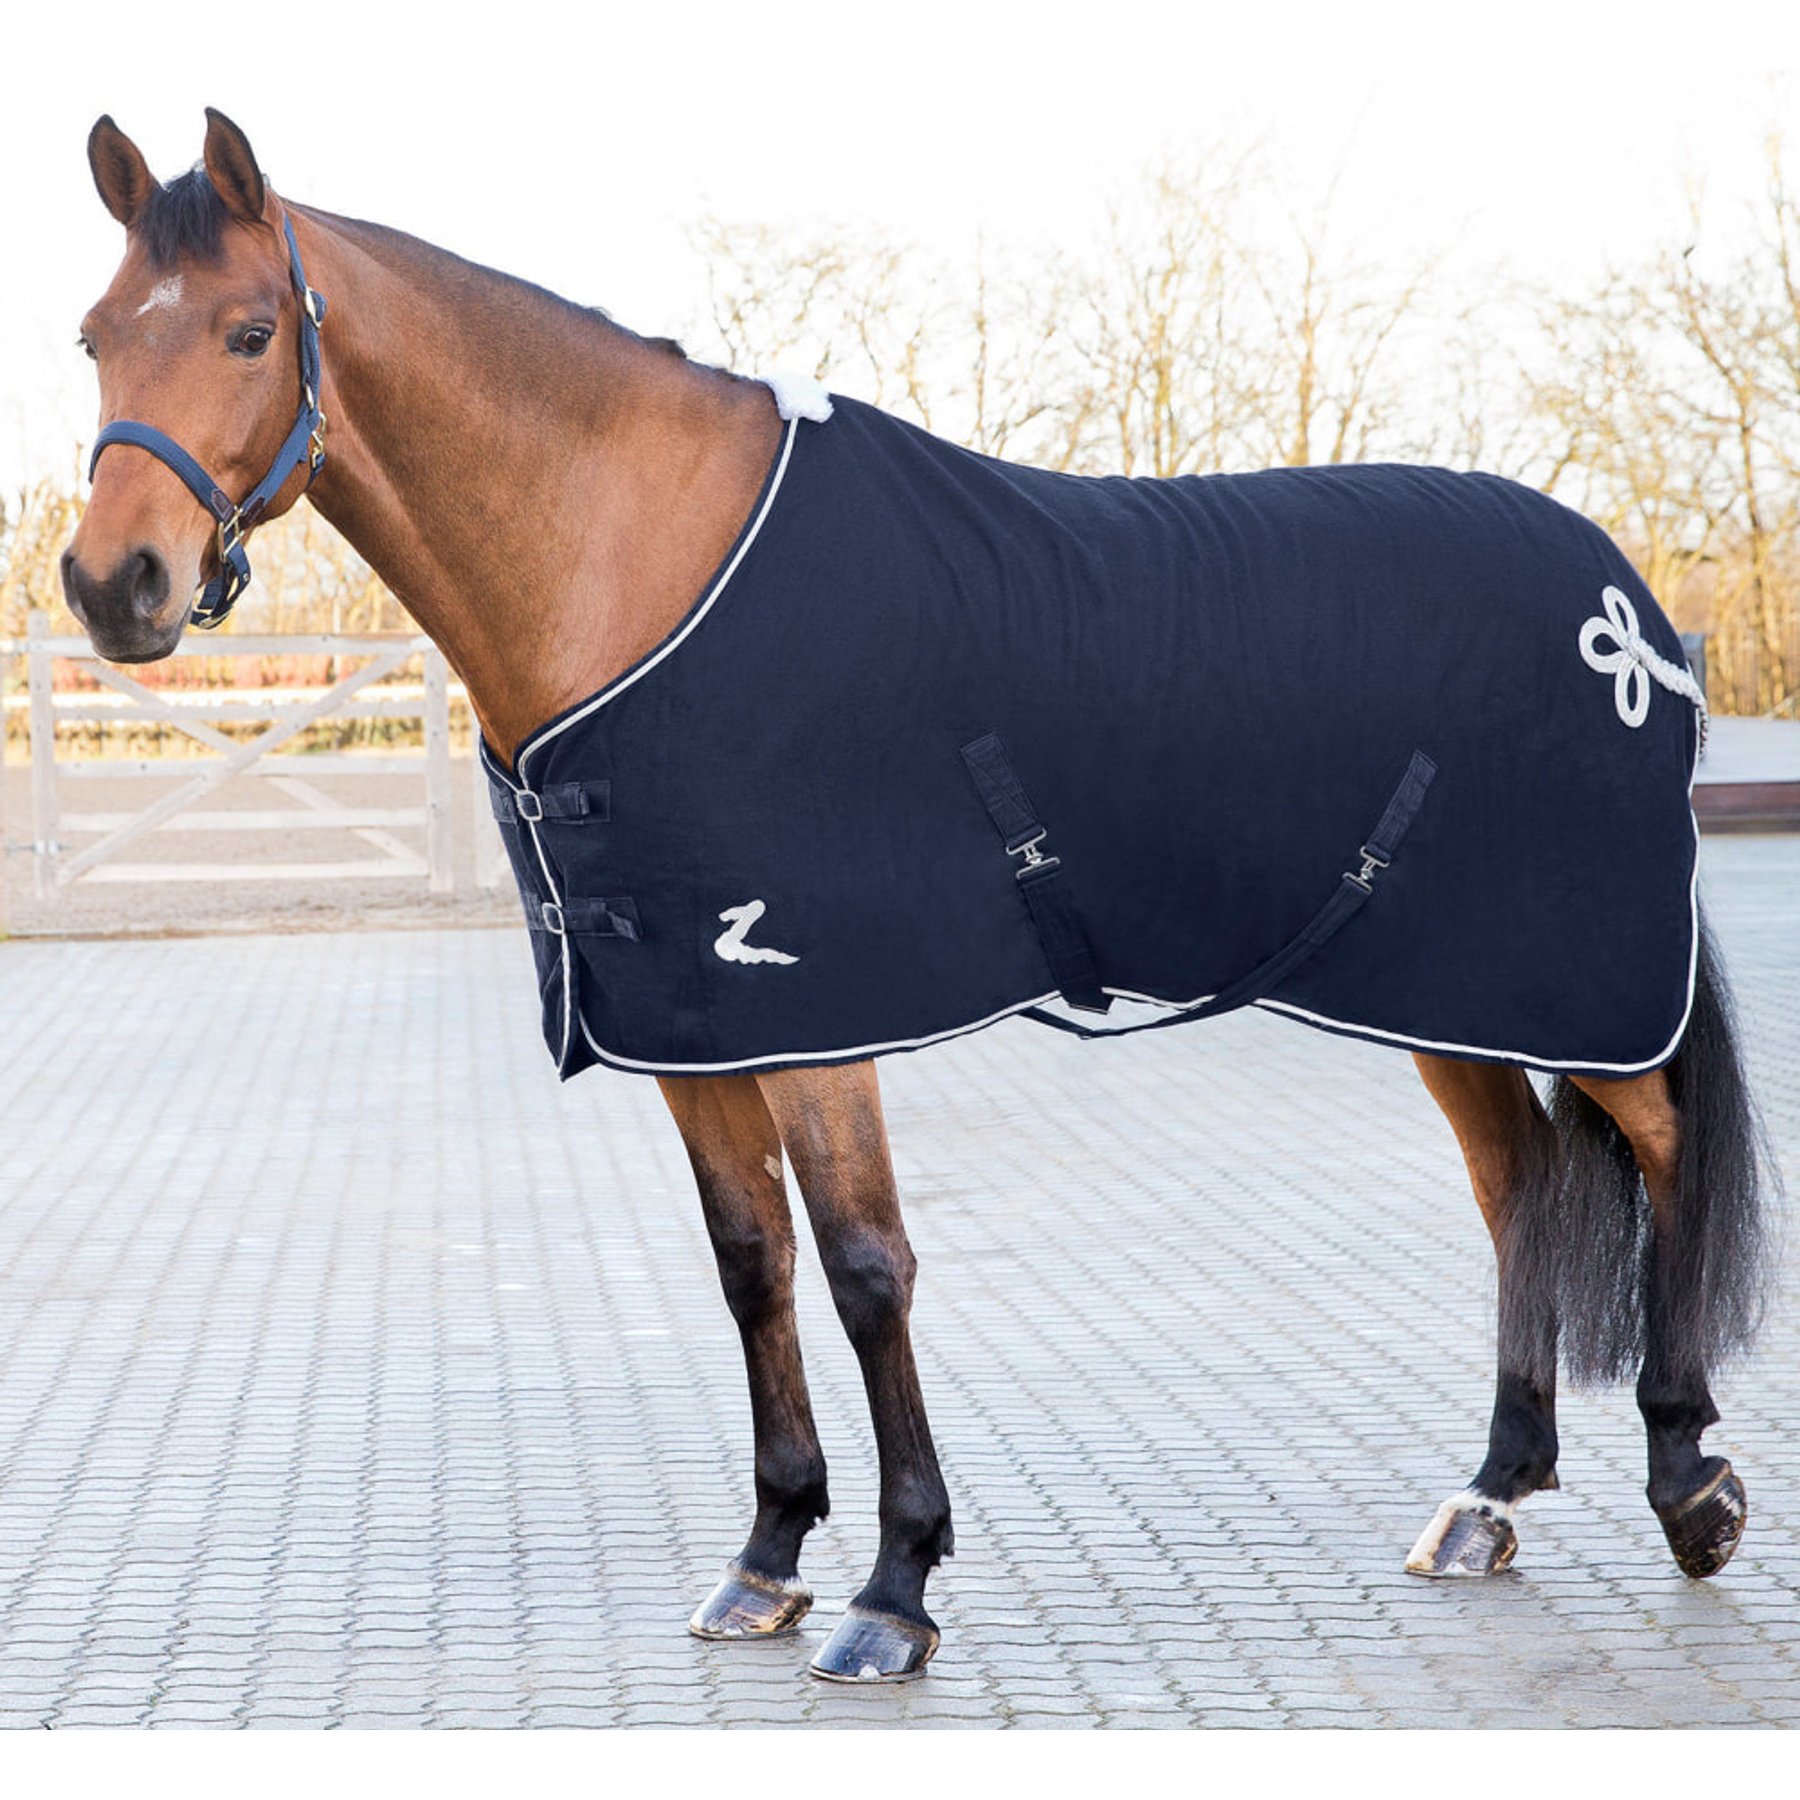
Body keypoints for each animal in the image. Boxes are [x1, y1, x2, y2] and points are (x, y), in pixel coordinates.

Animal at [59, 110, 1770, 1685]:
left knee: (1663, 1141)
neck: (644, 563)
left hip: (1577, 968)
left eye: (250, 329)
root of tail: (1629, 607)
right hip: (1439, 984)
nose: (112, 587)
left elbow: (867, 1268)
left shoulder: (818, 1011)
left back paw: (1691, 1477)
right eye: (93, 335)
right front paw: (767, 1554)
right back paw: (1493, 1495)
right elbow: (751, 1266)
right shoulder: (696, 1024)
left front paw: (895, 1587)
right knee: (1518, 1185)